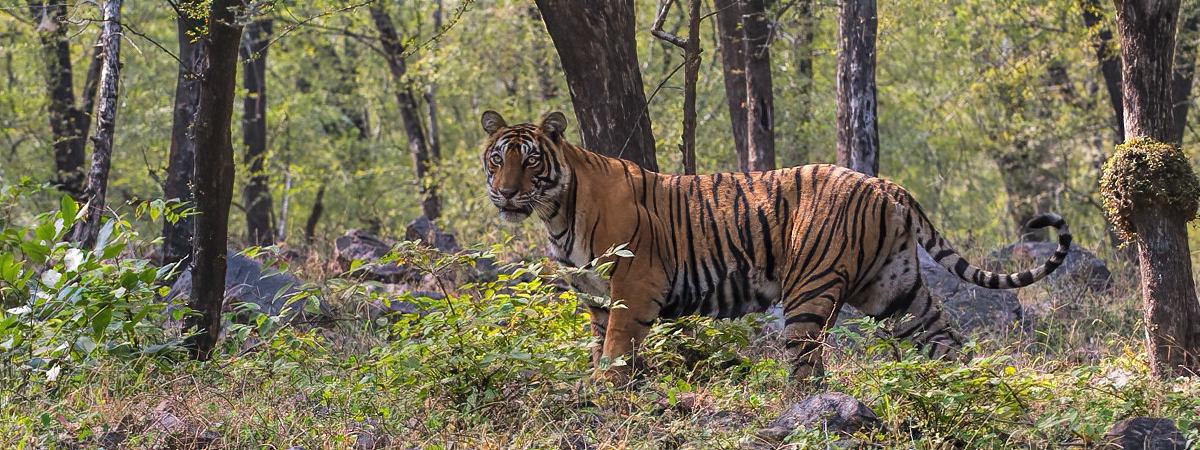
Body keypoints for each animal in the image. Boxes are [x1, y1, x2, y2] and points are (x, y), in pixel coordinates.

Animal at [482, 111, 1075, 381]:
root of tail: (884, 183)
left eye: (530, 160)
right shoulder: (594, 295)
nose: (505, 192)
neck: (556, 210)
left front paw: (608, 391)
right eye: (496, 158)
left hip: (809, 288)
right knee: (944, 339)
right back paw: (961, 387)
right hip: (896, 291)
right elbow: (599, 343)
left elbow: (615, 349)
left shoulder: (635, 282)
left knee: (807, 364)